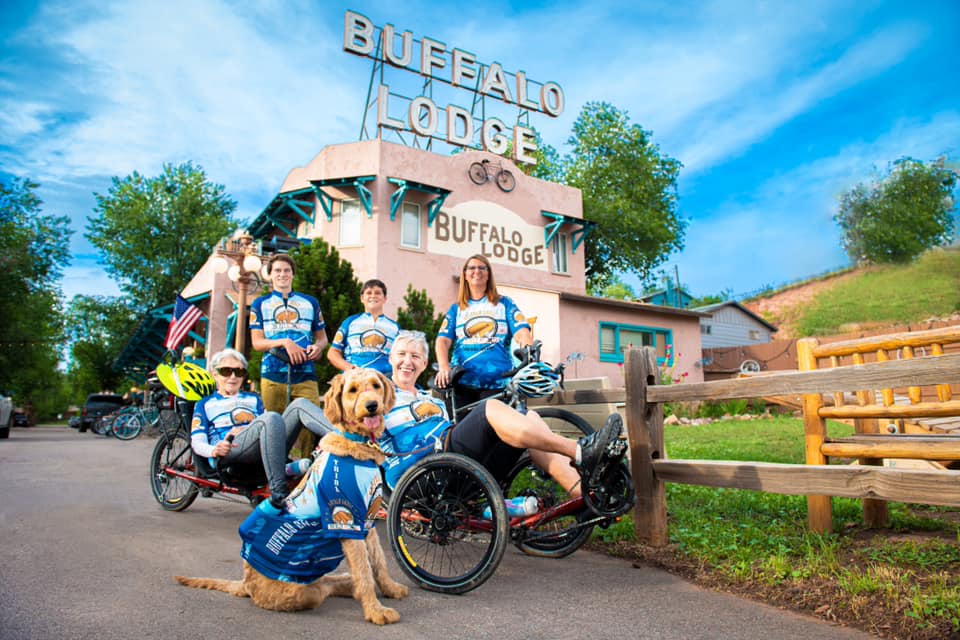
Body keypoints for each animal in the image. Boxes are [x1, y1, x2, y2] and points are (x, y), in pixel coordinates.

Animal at [176, 370, 408, 624]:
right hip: (306, 593)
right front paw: (375, 610)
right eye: (353, 390)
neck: (356, 445)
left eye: (376, 385)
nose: (372, 406)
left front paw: (390, 588)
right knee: (325, 586)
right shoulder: (346, 519)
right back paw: (351, 586)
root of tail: (245, 584)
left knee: (329, 580)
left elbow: (378, 561)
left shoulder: (367, 519)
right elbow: (365, 570)